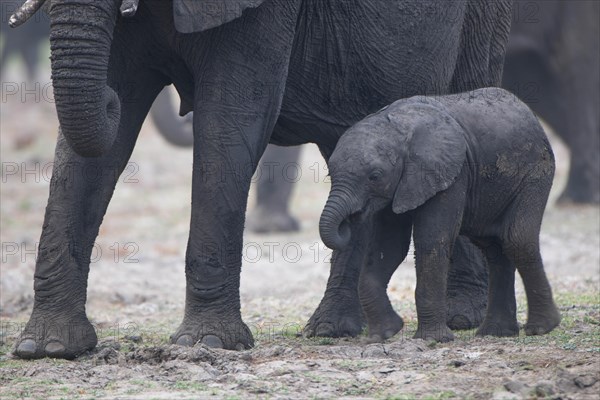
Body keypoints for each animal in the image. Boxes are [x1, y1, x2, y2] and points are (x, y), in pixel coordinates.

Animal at [11, 0, 510, 360]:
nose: (107, 102)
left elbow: (229, 122)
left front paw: (208, 344)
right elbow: (95, 150)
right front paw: (48, 348)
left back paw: (461, 318)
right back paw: (333, 329)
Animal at [322, 86, 560, 340]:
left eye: (374, 176)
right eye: (330, 174)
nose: (349, 220)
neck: (397, 126)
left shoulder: (451, 173)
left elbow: (432, 240)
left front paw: (432, 339)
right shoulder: (399, 186)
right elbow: (389, 246)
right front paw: (384, 333)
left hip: (535, 171)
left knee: (517, 240)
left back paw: (541, 328)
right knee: (494, 249)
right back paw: (495, 333)